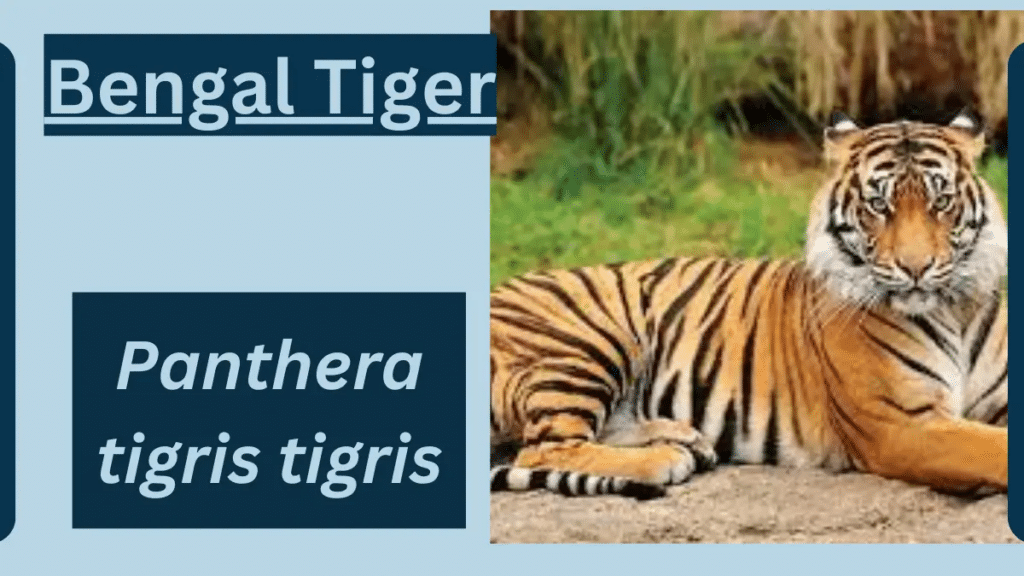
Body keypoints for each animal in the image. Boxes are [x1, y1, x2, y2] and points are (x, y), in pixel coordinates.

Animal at [489, 111, 1008, 499]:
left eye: (941, 201)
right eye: (878, 207)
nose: (915, 267)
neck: (955, 309)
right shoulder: (900, 423)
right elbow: (993, 448)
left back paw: (685, 438)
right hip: (593, 339)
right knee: (546, 447)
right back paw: (665, 458)